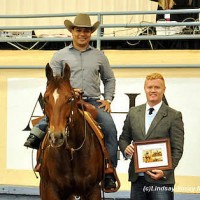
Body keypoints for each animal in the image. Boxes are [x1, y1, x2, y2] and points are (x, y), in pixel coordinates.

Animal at [39, 63, 104, 199]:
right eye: (45, 99)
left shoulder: (94, 189)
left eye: (69, 99)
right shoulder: (51, 189)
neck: (72, 151)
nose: (56, 136)